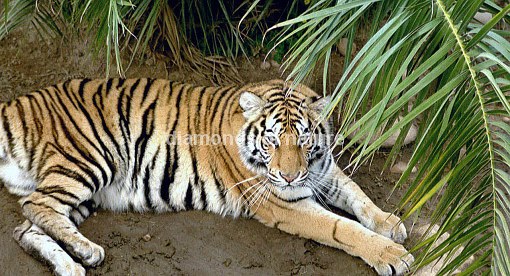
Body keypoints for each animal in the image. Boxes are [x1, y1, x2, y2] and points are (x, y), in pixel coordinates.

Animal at [0, 78, 414, 276]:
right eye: (272, 139)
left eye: (305, 138)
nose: (289, 176)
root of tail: (19, 102)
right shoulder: (285, 203)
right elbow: (341, 228)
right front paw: (392, 256)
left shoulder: (322, 171)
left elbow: (357, 195)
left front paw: (391, 224)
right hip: (89, 158)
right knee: (35, 205)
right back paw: (87, 251)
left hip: (84, 191)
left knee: (26, 229)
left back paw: (74, 263)